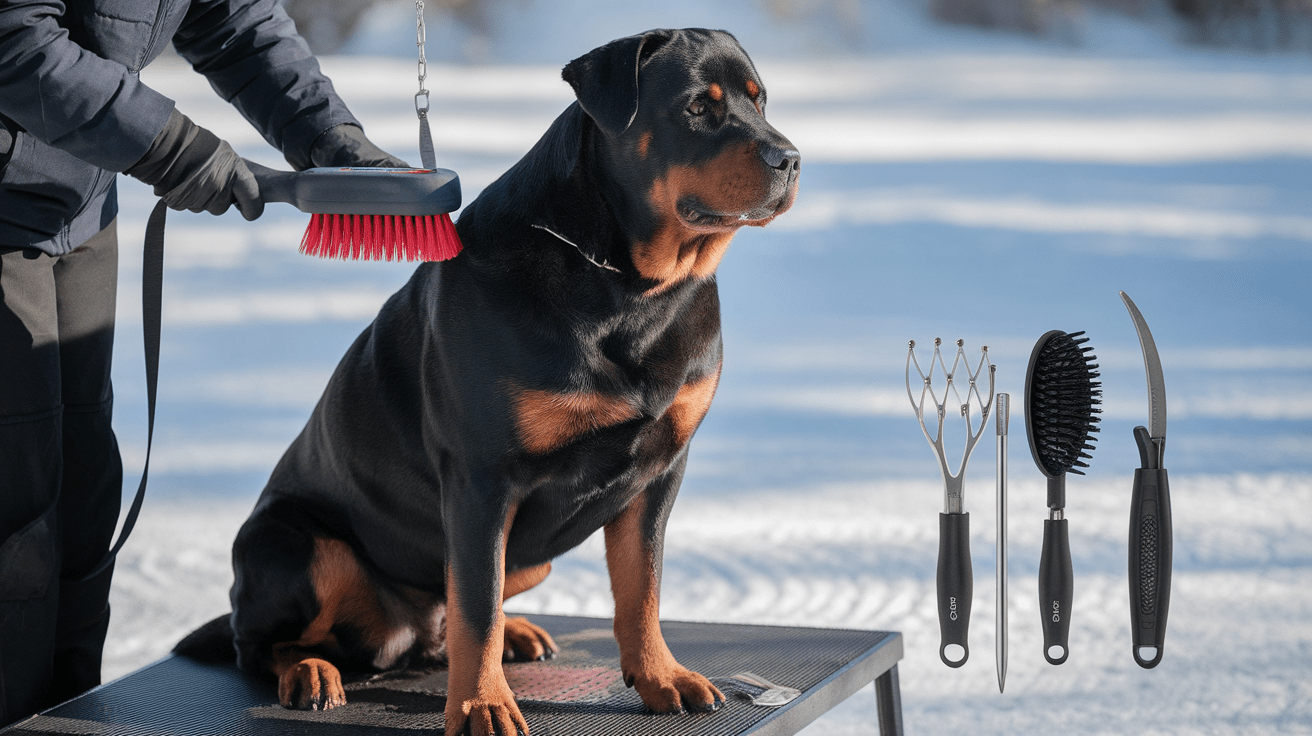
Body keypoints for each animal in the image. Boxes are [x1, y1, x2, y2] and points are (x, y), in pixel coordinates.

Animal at [178, 25, 797, 729]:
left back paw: (516, 633)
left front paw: (660, 674)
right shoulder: (481, 478)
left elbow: (642, 585)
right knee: (259, 642)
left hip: (534, 560)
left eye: (760, 100)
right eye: (697, 107)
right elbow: (478, 603)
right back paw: (309, 670)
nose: (790, 158)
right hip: (293, 545)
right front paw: (482, 703)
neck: (633, 287)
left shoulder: (662, 470)